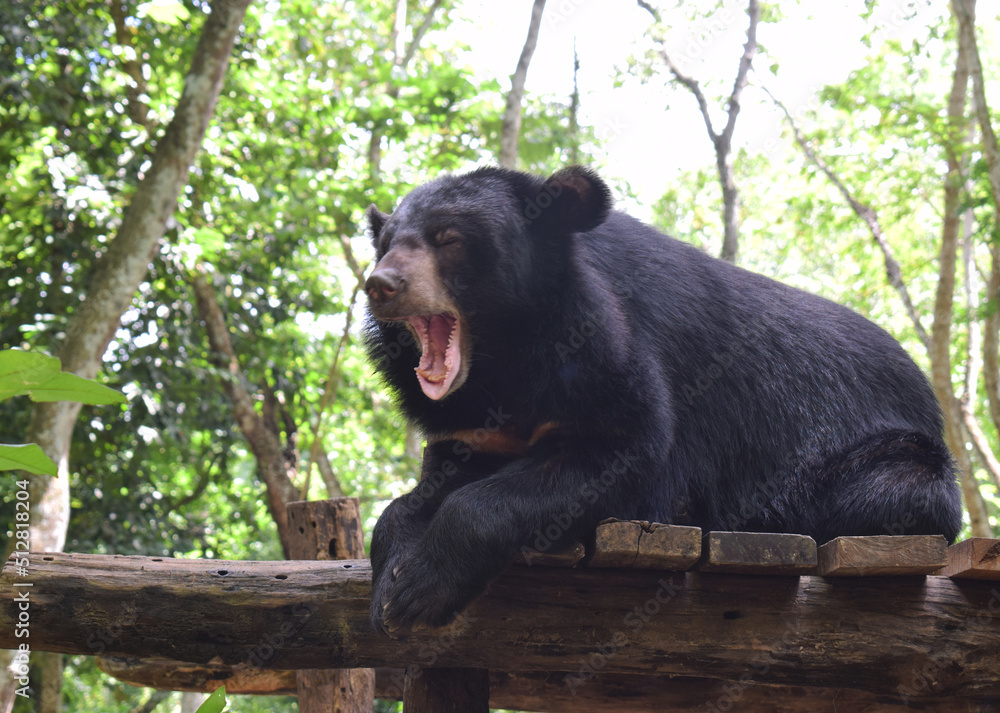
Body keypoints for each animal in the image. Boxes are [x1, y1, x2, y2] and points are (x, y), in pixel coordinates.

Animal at [363, 165, 963, 633]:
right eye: (387, 242)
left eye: (448, 238)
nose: (380, 283)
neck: (504, 360)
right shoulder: (471, 425)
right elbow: (425, 489)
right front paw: (389, 587)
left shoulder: (614, 359)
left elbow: (627, 454)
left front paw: (419, 592)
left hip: (887, 460)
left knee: (895, 490)